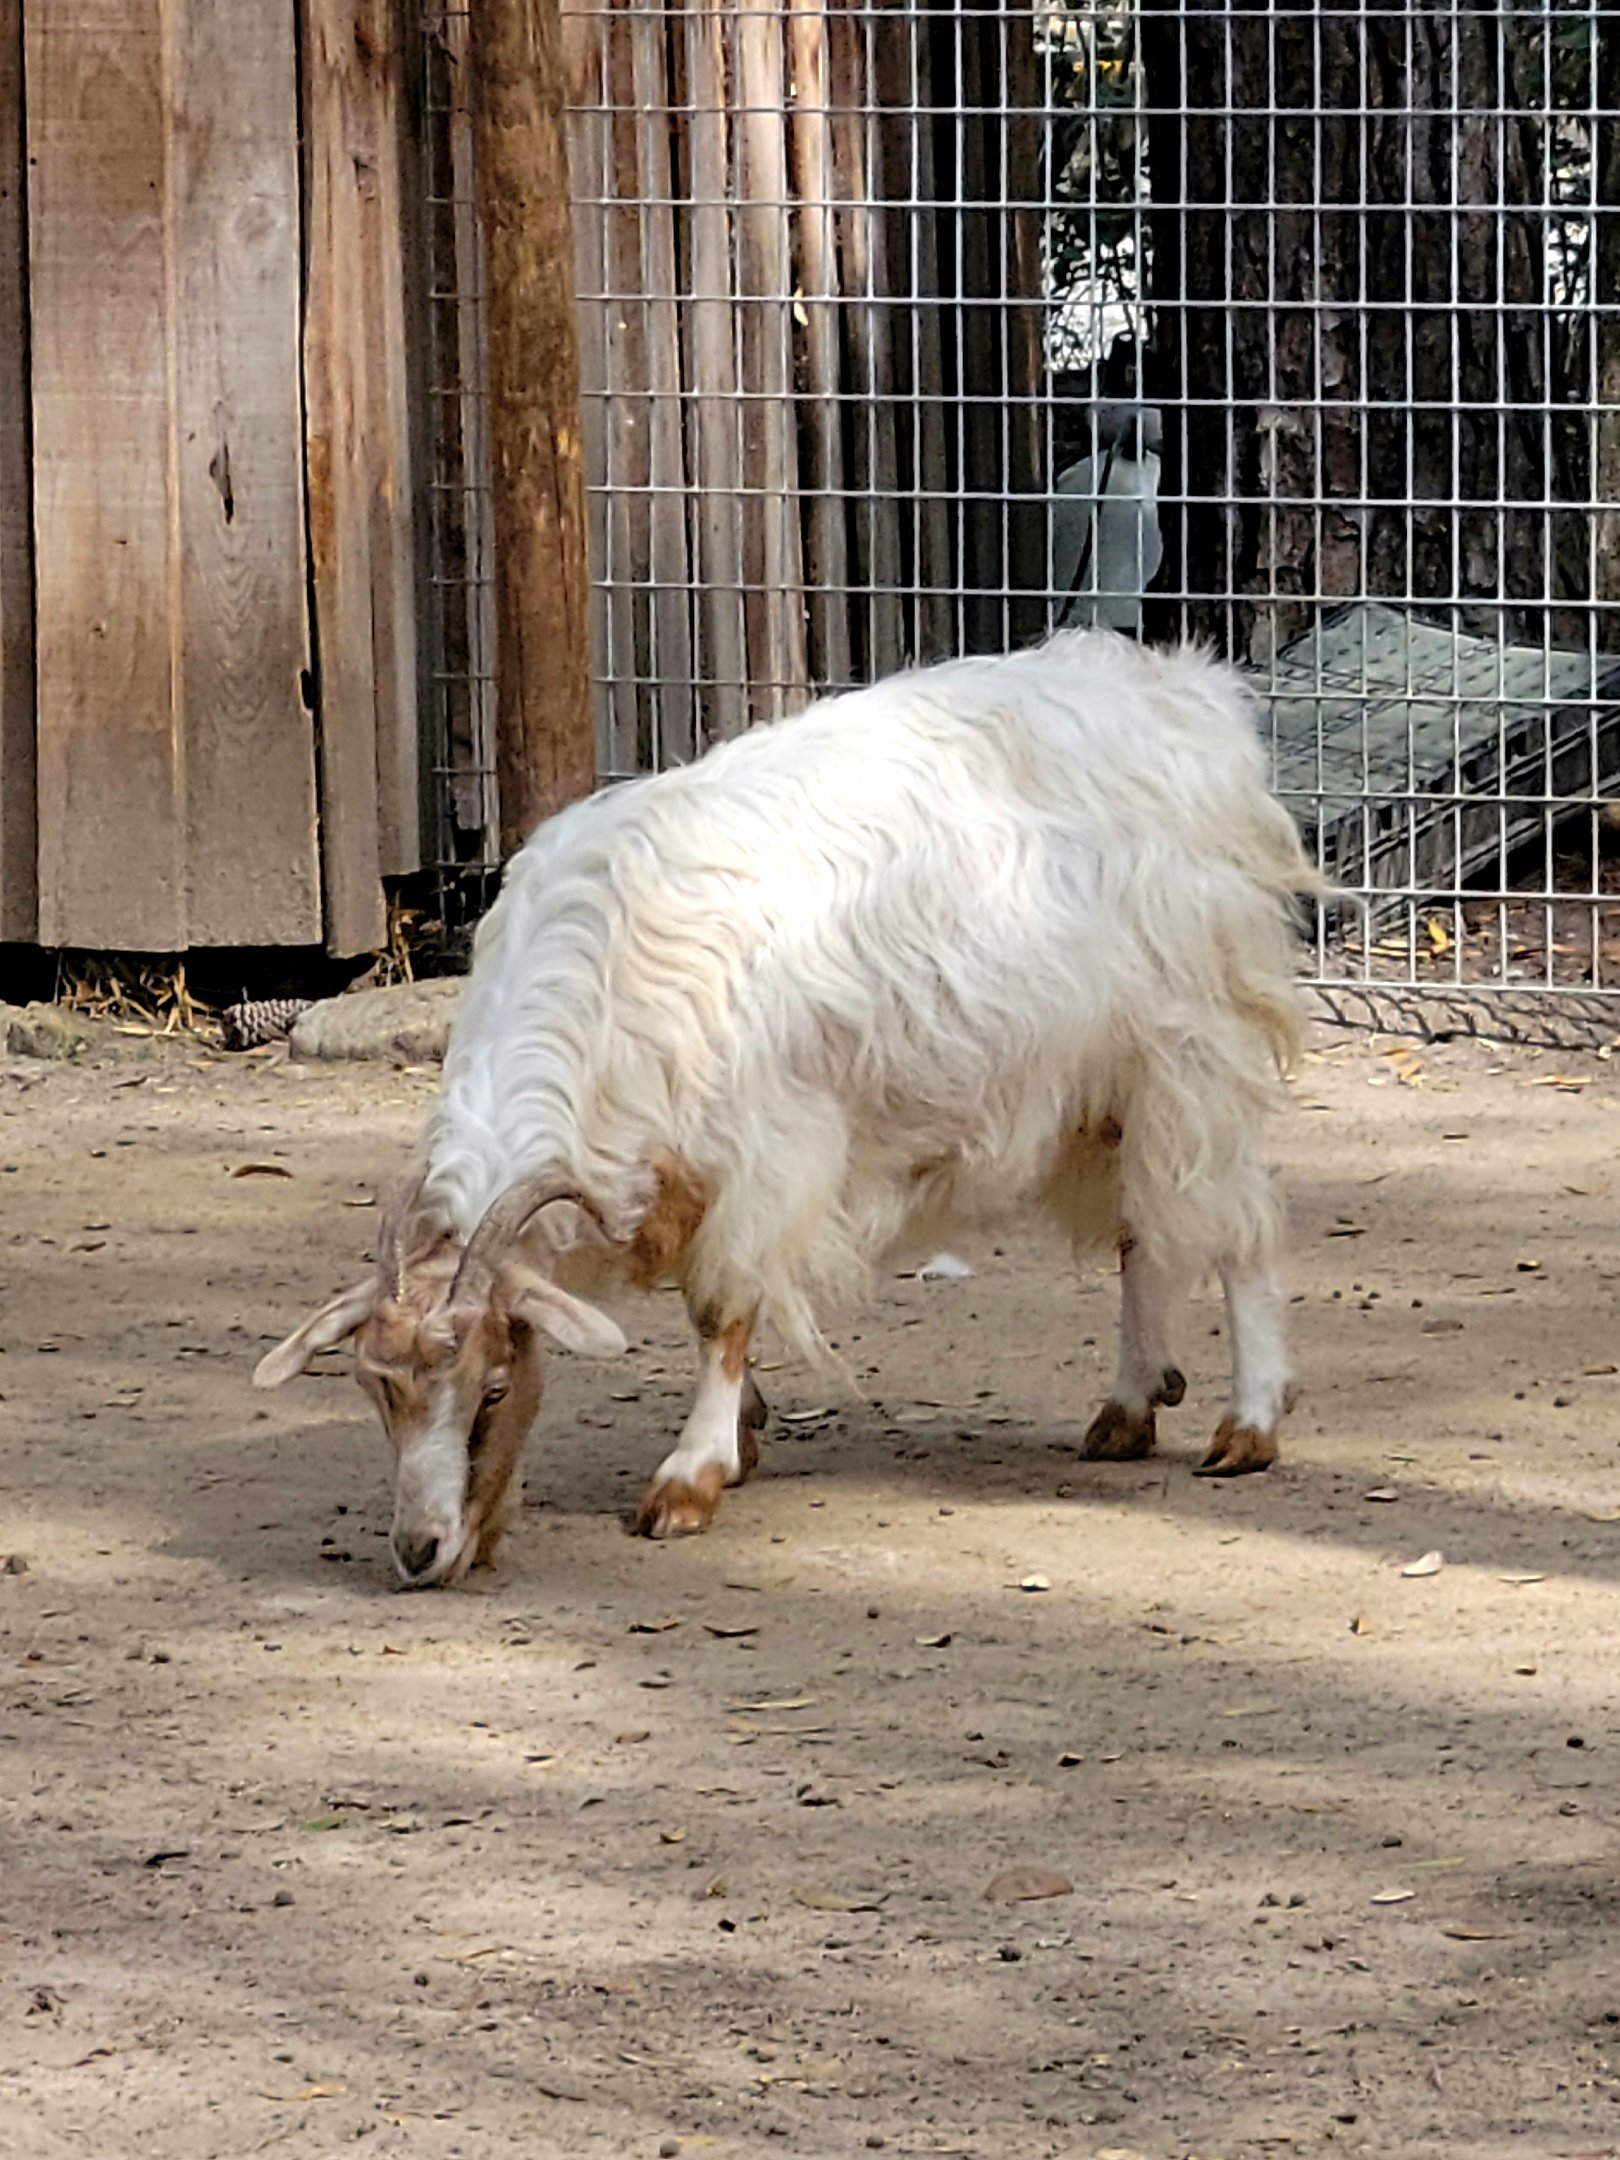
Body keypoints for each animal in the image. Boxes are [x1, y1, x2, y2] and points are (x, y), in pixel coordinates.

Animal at [255, 629, 1319, 1588]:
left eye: (495, 1388)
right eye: (373, 1391)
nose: (421, 1553)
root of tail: (1192, 697)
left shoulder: (770, 1149)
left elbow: (723, 1305)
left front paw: (691, 1476)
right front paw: (749, 1426)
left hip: (1192, 1046)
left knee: (1244, 1224)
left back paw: (1247, 1426)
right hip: (1105, 1087)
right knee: (1145, 1228)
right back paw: (1130, 1408)